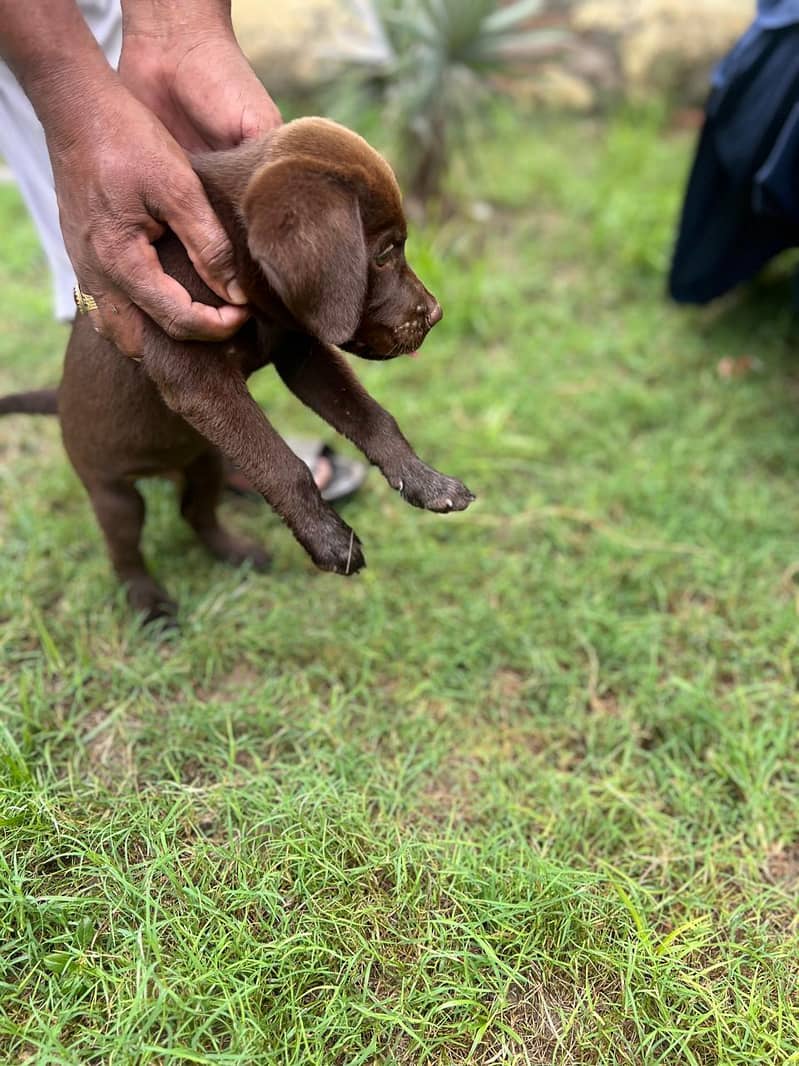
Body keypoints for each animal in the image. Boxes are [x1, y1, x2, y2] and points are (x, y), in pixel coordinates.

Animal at [0, 117, 475, 622]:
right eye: (384, 253)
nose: (436, 314)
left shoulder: (300, 352)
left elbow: (373, 418)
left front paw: (426, 481)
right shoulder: (197, 379)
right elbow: (282, 464)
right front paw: (329, 539)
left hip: (205, 461)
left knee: (196, 512)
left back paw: (236, 552)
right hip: (112, 491)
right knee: (124, 550)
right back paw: (151, 604)